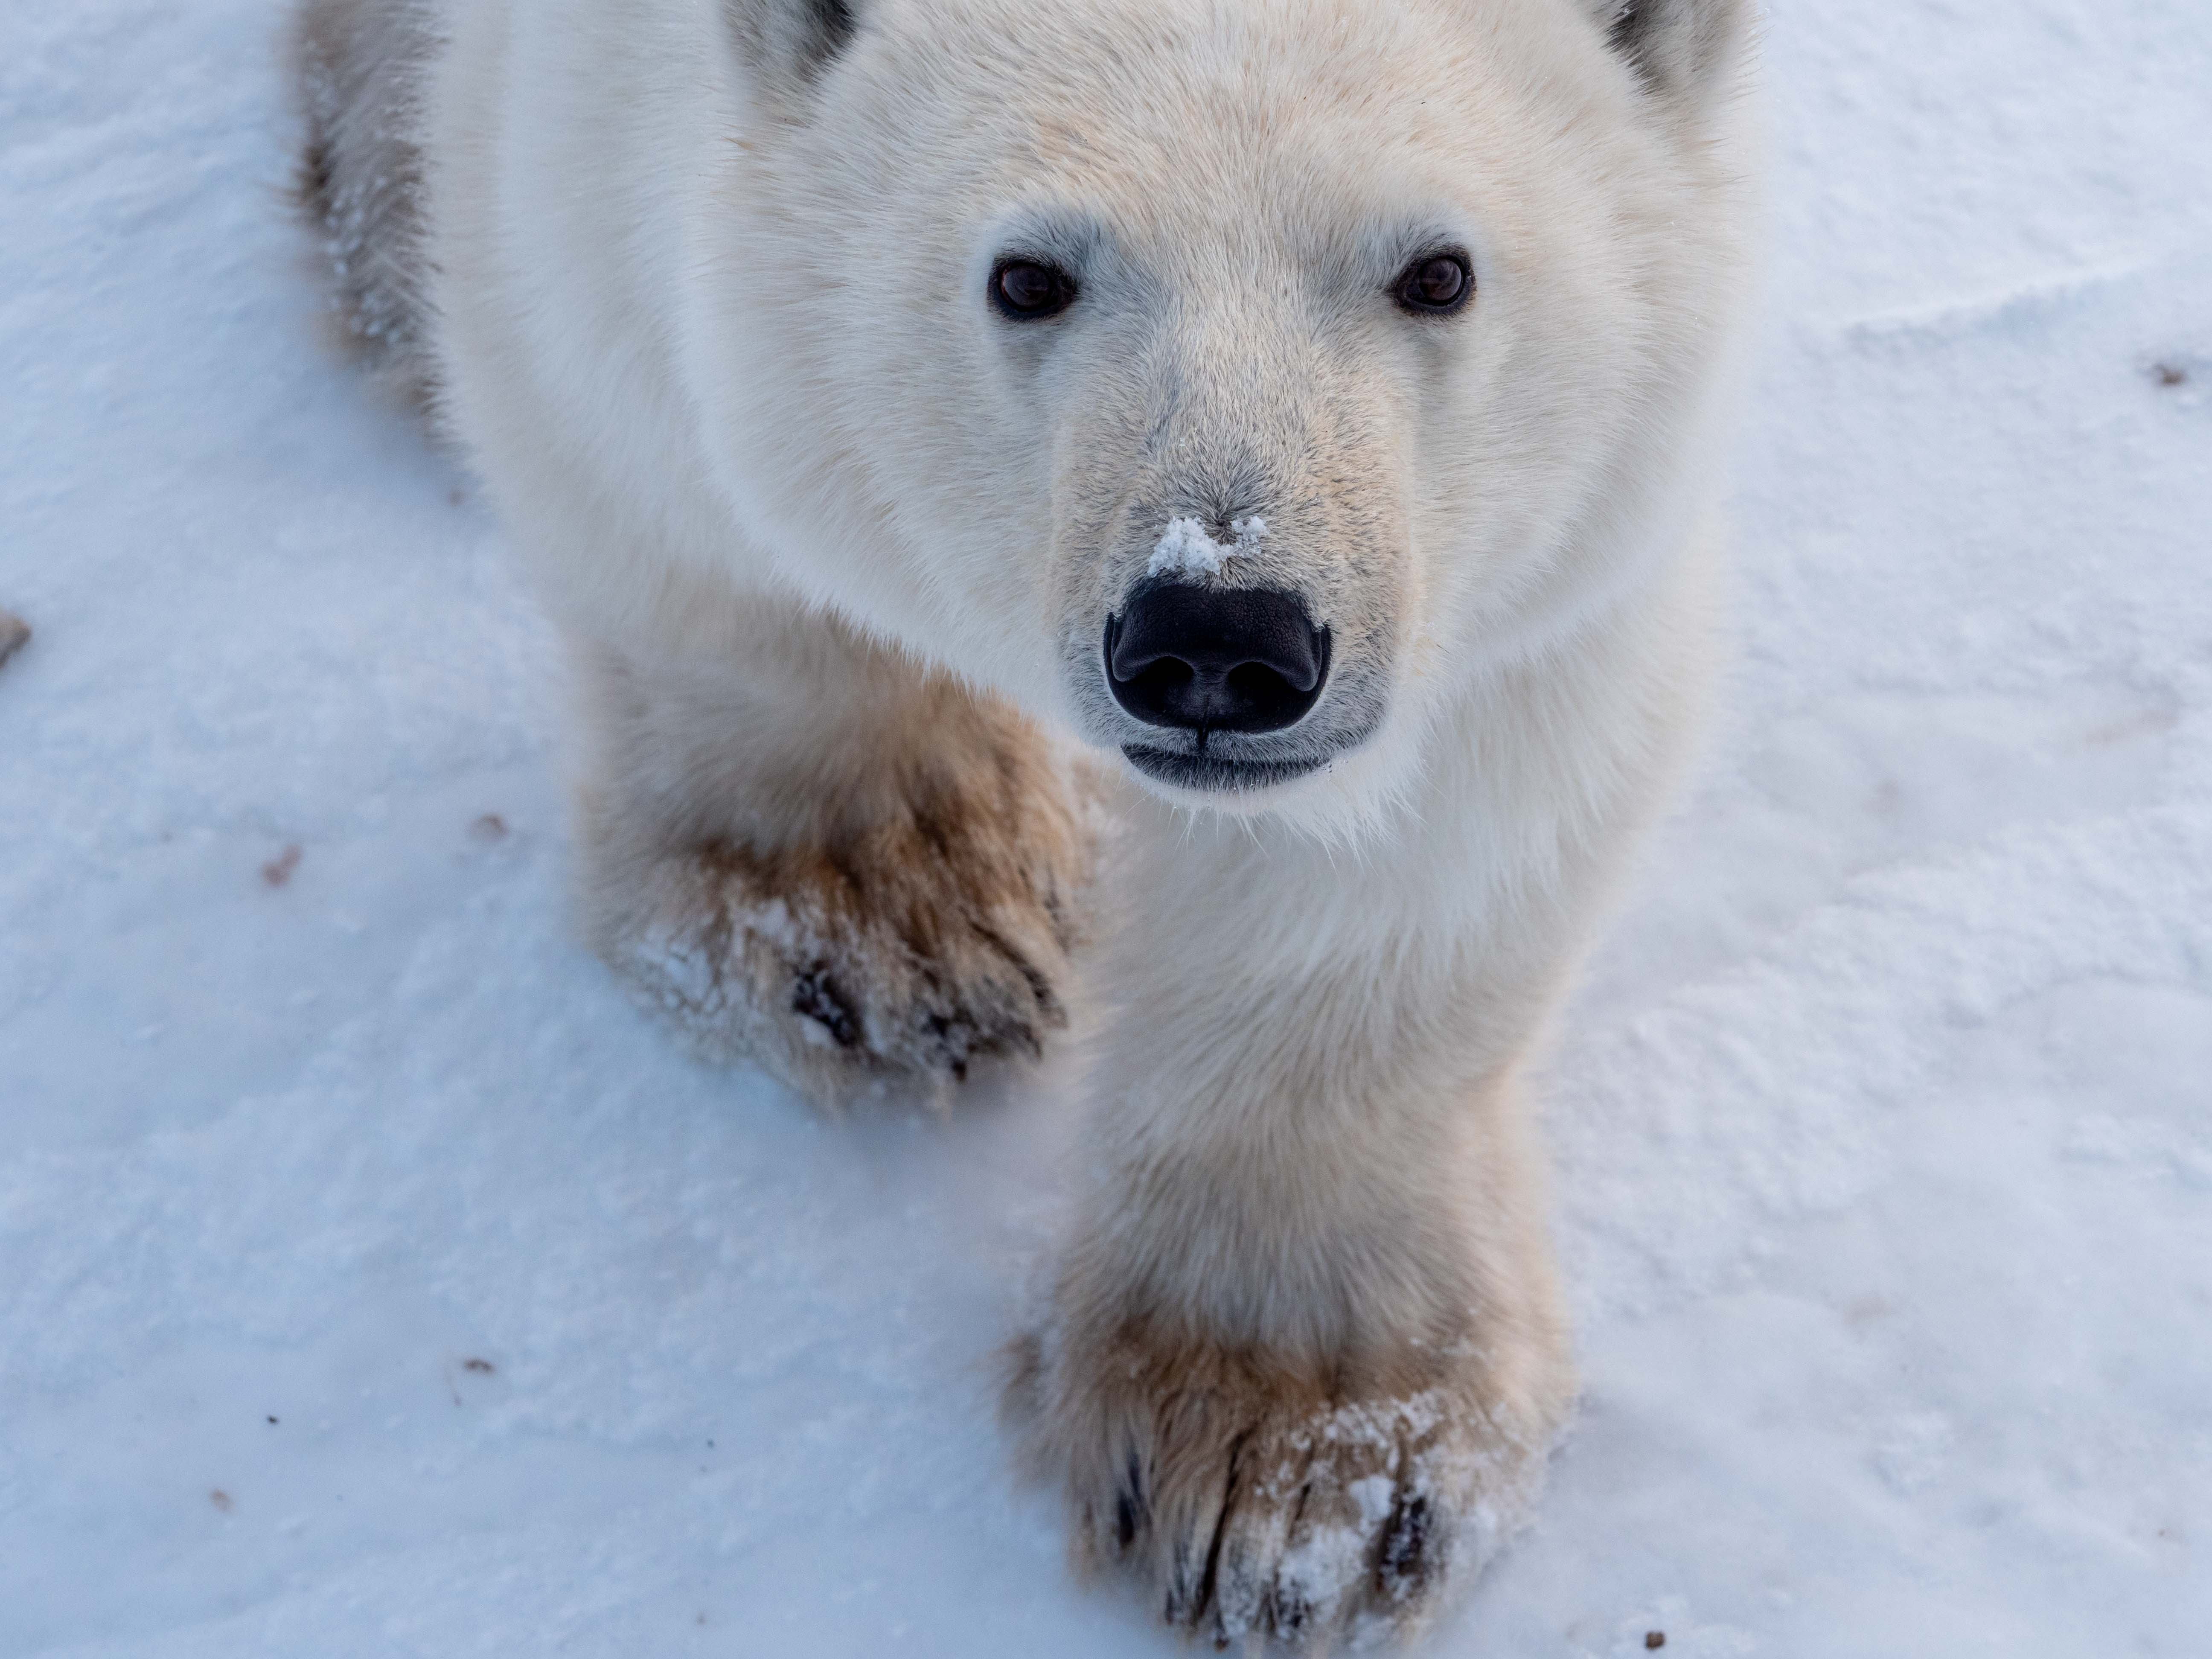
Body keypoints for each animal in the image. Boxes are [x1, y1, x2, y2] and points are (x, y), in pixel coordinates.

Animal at [291, 0, 1759, 1645]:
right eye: (1028, 276)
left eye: (1438, 271)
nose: (1218, 635)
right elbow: (643, 440)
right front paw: (888, 911)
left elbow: (1427, 817)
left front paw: (1292, 1450)